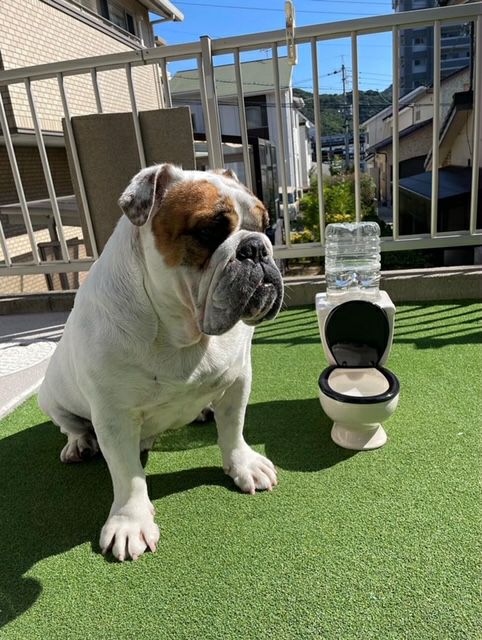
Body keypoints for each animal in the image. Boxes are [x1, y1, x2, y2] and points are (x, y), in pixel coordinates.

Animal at [38, 164, 284, 561]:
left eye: (265, 224)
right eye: (208, 231)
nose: (257, 247)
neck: (182, 330)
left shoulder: (238, 379)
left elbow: (234, 428)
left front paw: (243, 464)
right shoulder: (113, 415)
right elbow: (127, 475)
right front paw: (130, 521)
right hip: (50, 396)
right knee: (71, 425)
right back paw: (79, 443)